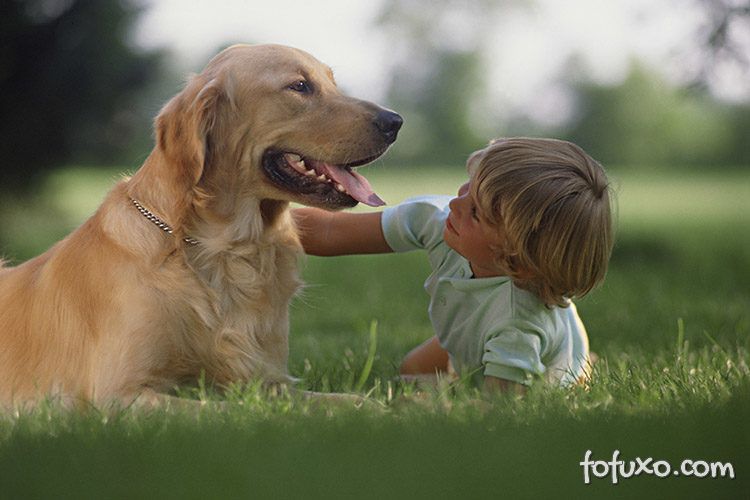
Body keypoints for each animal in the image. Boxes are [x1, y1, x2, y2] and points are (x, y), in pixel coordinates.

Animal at [0, 44, 406, 410]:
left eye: (331, 83)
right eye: (300, 86)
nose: (395, 122)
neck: (227, 250)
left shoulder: (272, 379)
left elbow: (351, 401)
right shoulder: (117, 393)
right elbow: (225, 408)